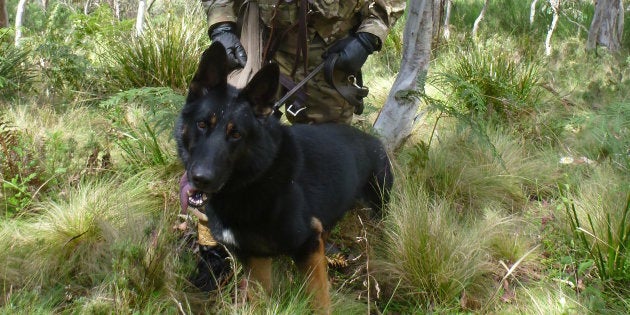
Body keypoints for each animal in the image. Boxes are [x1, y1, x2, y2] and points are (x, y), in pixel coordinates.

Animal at [177, 42, 396, 314]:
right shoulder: (255, 257)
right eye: (202, 124)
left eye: (236, 134)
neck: (257, 178)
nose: (200, 179)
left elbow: (319, 302)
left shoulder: (306, 246)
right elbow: (260, 298)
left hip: (377, 212)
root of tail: (375, 141)